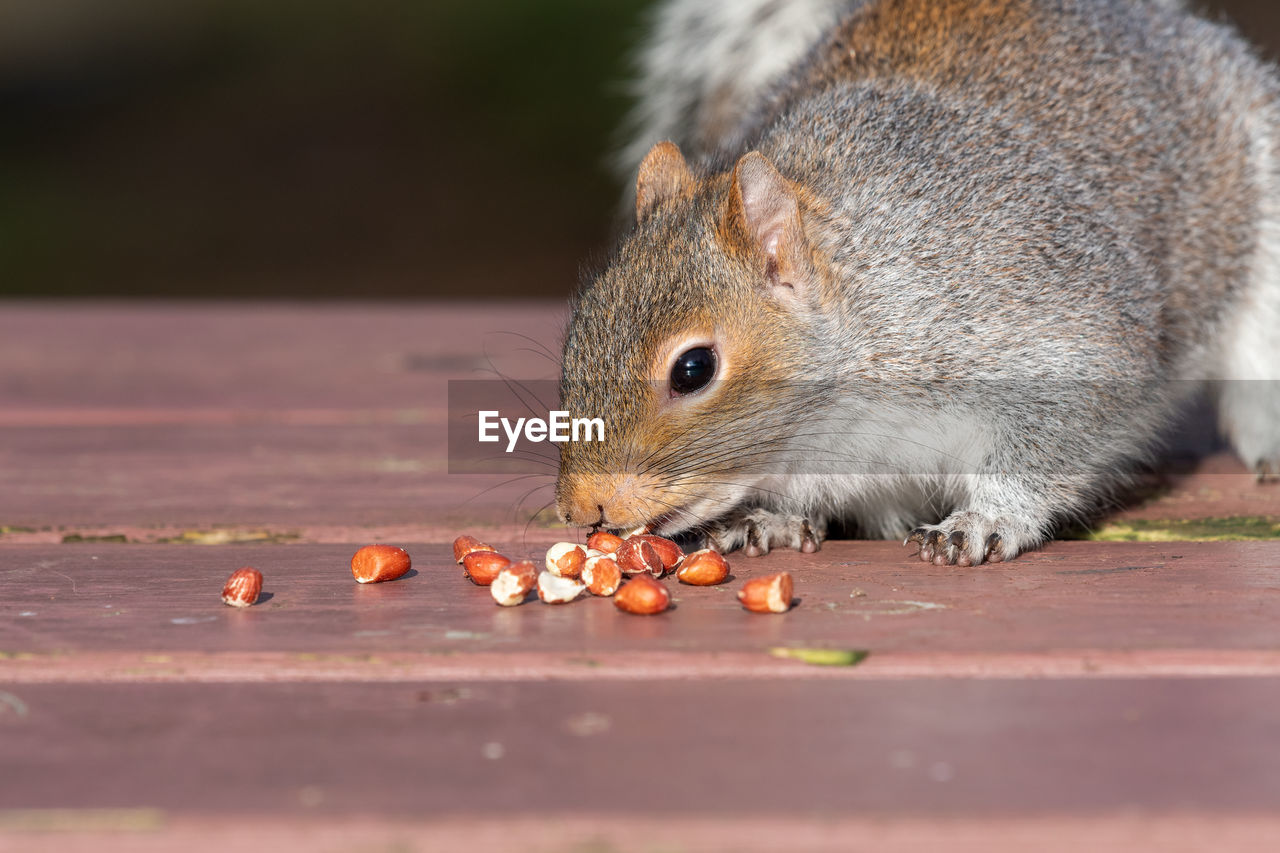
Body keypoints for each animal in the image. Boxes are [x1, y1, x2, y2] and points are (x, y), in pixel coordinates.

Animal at [555, 1, 1280, 563]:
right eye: (575, 332)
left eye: (694, 369)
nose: (581, 508)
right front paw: (772, 518)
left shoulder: (1054, 332)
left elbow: (1054, 441)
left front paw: (986, 519)